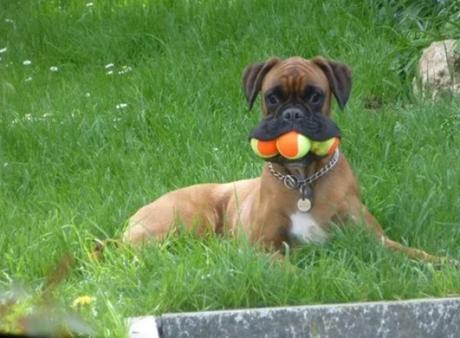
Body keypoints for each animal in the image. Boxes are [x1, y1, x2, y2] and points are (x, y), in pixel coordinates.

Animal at [124, 56, 448, 264]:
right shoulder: (263, 248)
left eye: (315, 96)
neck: (303, 179)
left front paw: (444, 264)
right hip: (192, 219)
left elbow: (414, 253)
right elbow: (287, 268)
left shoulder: (375, 240)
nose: (293, 114)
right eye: (272, 97)